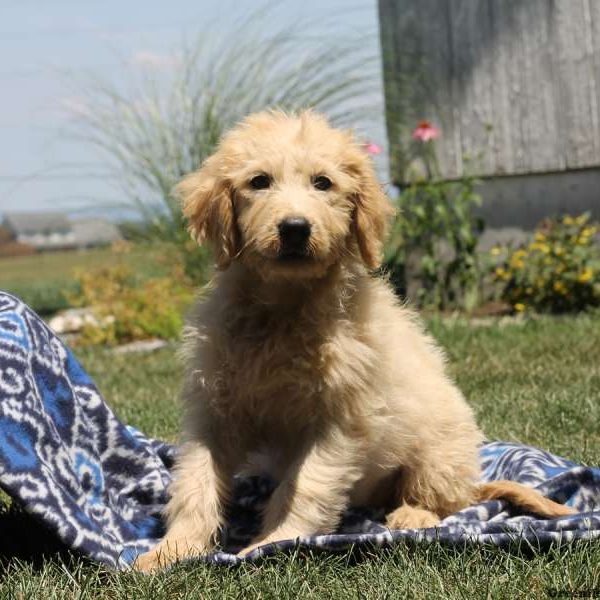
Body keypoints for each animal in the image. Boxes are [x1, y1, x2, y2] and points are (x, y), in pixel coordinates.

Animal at [135, 109, 572, 572]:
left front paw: (274, 541)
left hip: (441, 447)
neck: (284, 310)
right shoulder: (214, 409)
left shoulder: (339, 420)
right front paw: (173, 549)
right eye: (259, 181)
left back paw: (413, 514)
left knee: (444, 500)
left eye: (323, 183)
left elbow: (304, 487)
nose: (295, 228)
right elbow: (195, 482)